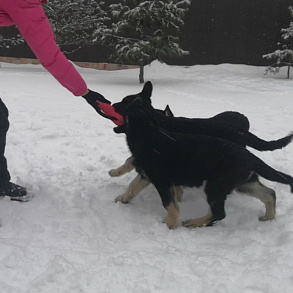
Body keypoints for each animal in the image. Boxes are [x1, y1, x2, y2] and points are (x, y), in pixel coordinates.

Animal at [123, 97, 292, 227]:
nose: (137, 99)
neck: (146, 131)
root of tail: (250, 156)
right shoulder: (146, 175)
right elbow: (132, 187)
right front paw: (122, 199)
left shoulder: (161, 181)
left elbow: (170, 205)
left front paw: (170, 225)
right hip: (244, 183)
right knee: (269, 193)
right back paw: (268, 217)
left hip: (216, 185)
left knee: (219, 213)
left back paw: (194, 222)